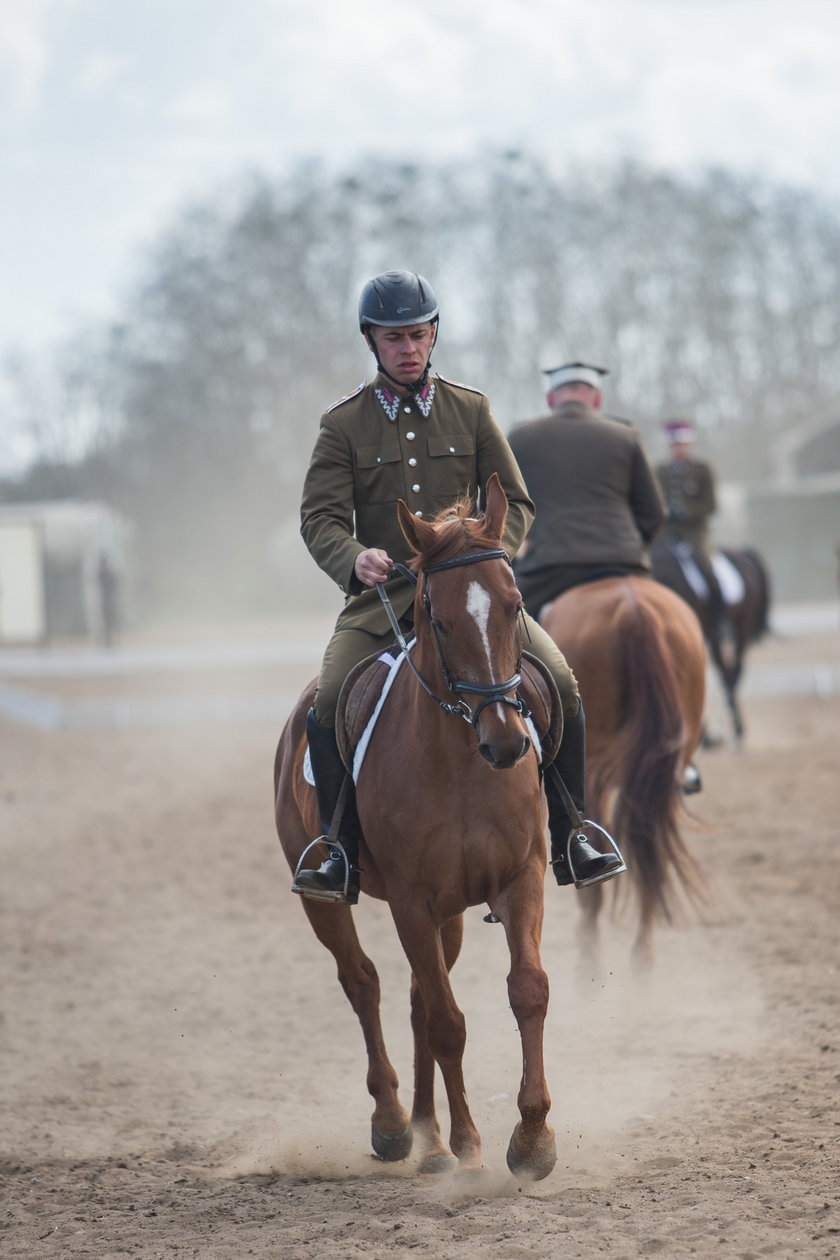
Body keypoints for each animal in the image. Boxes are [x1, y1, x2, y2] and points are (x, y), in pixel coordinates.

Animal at [277, 476, 559, 1184]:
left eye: (515, 605)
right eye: (439, 616)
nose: (506, 742)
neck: (461, 760)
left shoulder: (521, 877)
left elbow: (527, 991)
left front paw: (533, 1139)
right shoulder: (411, 900)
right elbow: (448, 1022)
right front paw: (471, 1144)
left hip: (451, 913)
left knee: (412, 998)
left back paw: (430, 1141)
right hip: (331, 898)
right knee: (366, 984)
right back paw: (398, 1126)